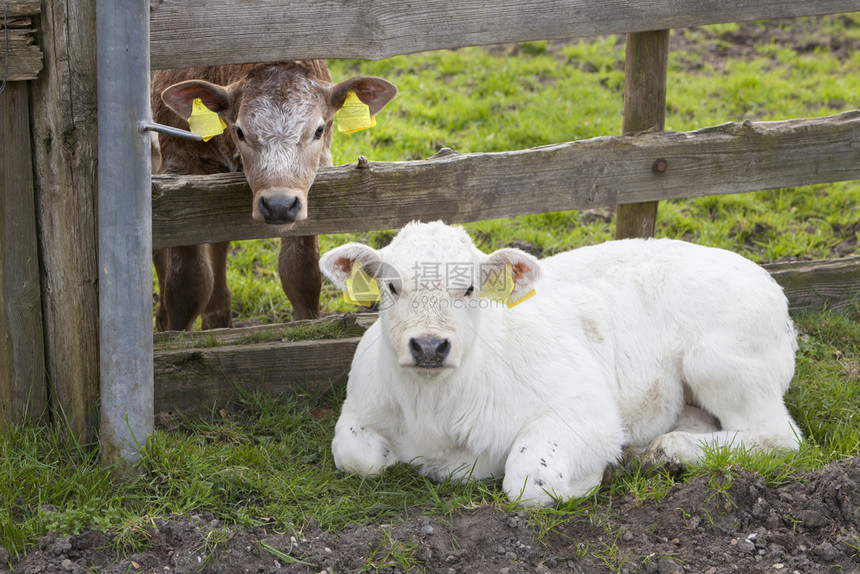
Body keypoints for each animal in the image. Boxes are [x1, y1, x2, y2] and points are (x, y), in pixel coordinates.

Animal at [152, 60, 400, 330]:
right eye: (239, 131)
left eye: (319, 130)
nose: (278, 205)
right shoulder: (178, 175)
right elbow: (188, 286)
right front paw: (174, 332)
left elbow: (301, 275)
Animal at [320, 223, 804, 506]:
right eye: (392, 286)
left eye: (470, 288)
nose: (429, 346)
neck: (432, 408)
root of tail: (768, 279)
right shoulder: (359, 407)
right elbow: (356, 457)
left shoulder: (585, 411)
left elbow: (529, 479)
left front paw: (592, 476)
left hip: (723, 363)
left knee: (779, 437)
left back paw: (669, 449)